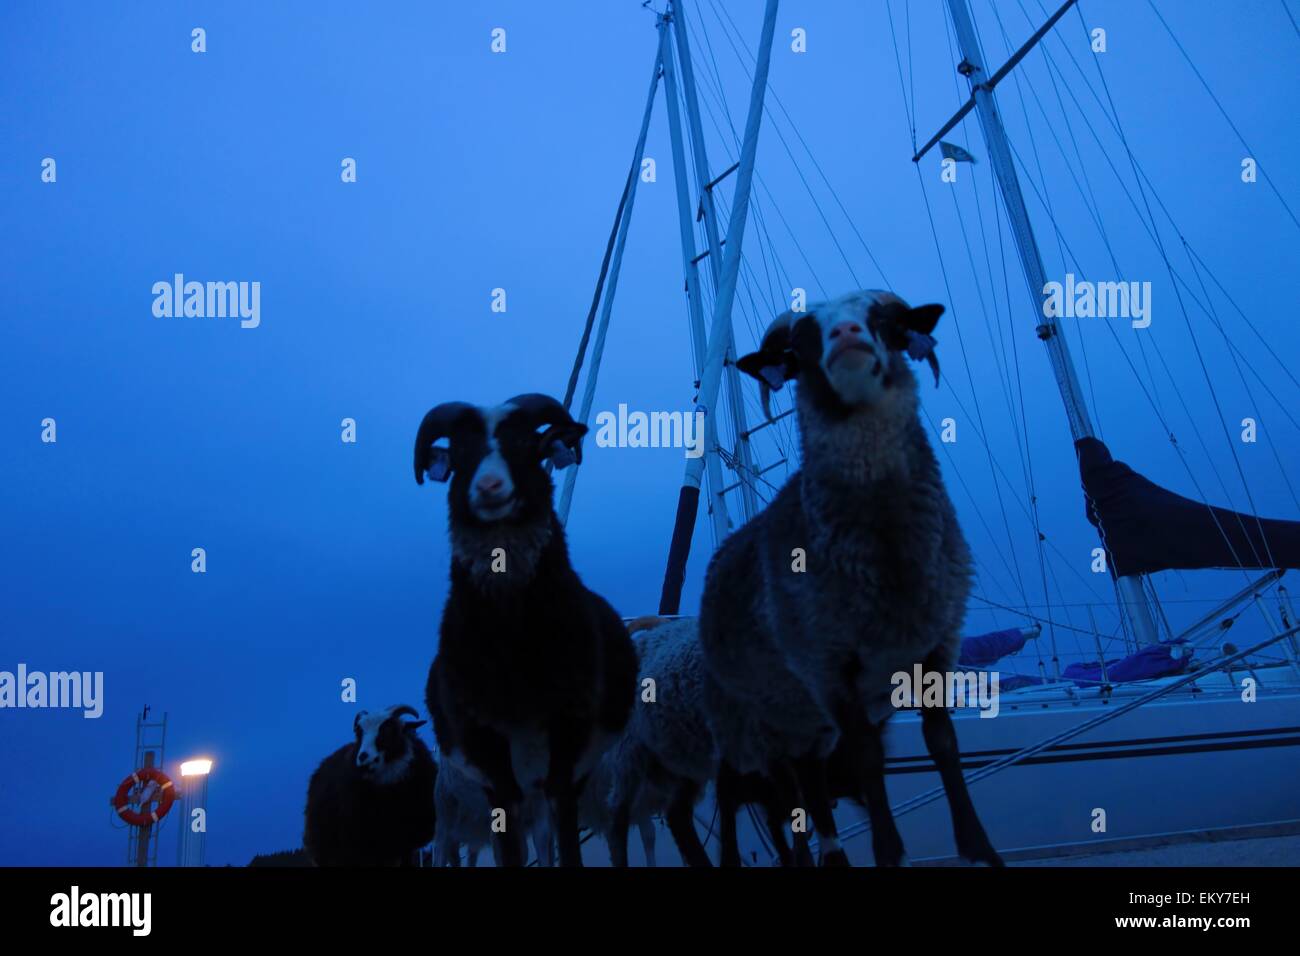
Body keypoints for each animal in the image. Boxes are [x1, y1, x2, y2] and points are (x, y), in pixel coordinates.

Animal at [416, 390, 639, 868]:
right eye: (460, 453)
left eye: (524, 444)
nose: (488, 488)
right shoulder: (488, 755)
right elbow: (509, 845)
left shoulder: (568, 740)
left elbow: (568, 839)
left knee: (547, 831)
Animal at [707, 290, 998, 868]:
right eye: (799, 343)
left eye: (883, 320)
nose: (847, 336)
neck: (889, 557)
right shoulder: (828, 665)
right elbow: (866, 758)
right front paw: (888, 853)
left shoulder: (937, 646)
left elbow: (943, 742)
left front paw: (979, 849)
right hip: (762, 723)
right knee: (785, 791)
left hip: (806, 721)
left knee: (811, 782)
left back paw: (831, 855)